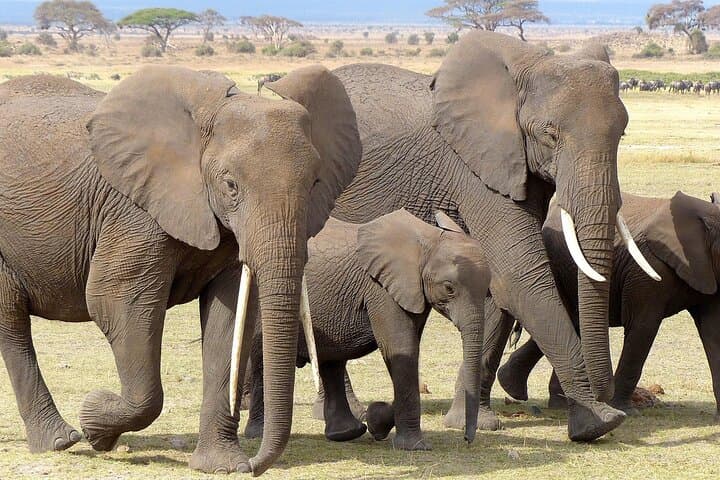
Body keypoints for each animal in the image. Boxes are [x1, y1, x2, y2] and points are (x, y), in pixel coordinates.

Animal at [0, 65, 361, 475]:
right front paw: (94, 422)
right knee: (12, 323)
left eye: (315, 183)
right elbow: (115, 301)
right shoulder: (133, 212)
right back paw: (62, 441)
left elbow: (229, 317)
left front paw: (223, 467)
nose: (255, 464)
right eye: (231, 185)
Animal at [244, 209, 490, 451]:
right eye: (449, 288)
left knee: (331, 362)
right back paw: (257, 434)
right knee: (264, 360)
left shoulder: (412, 291)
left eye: (488, 289)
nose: (467, 440)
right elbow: (401, 347)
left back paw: (346, 433)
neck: (426, 239)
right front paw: (415, 447)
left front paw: (377, 420)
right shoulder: (381, 288)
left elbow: (407, 349)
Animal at [327, 31, 661, 441]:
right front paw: (597, 423)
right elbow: (519, 274)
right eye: (550, 135)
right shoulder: (474, 168)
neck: (528, 66)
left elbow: (495, 283)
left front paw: (473, 422)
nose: (608, 397)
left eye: (623, 133)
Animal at [462, 191, 720, 420]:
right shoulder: (647, 273)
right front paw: (627, 411)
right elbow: (643, 328)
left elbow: (712, 331)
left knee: (569, 322)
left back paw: (541, 397)